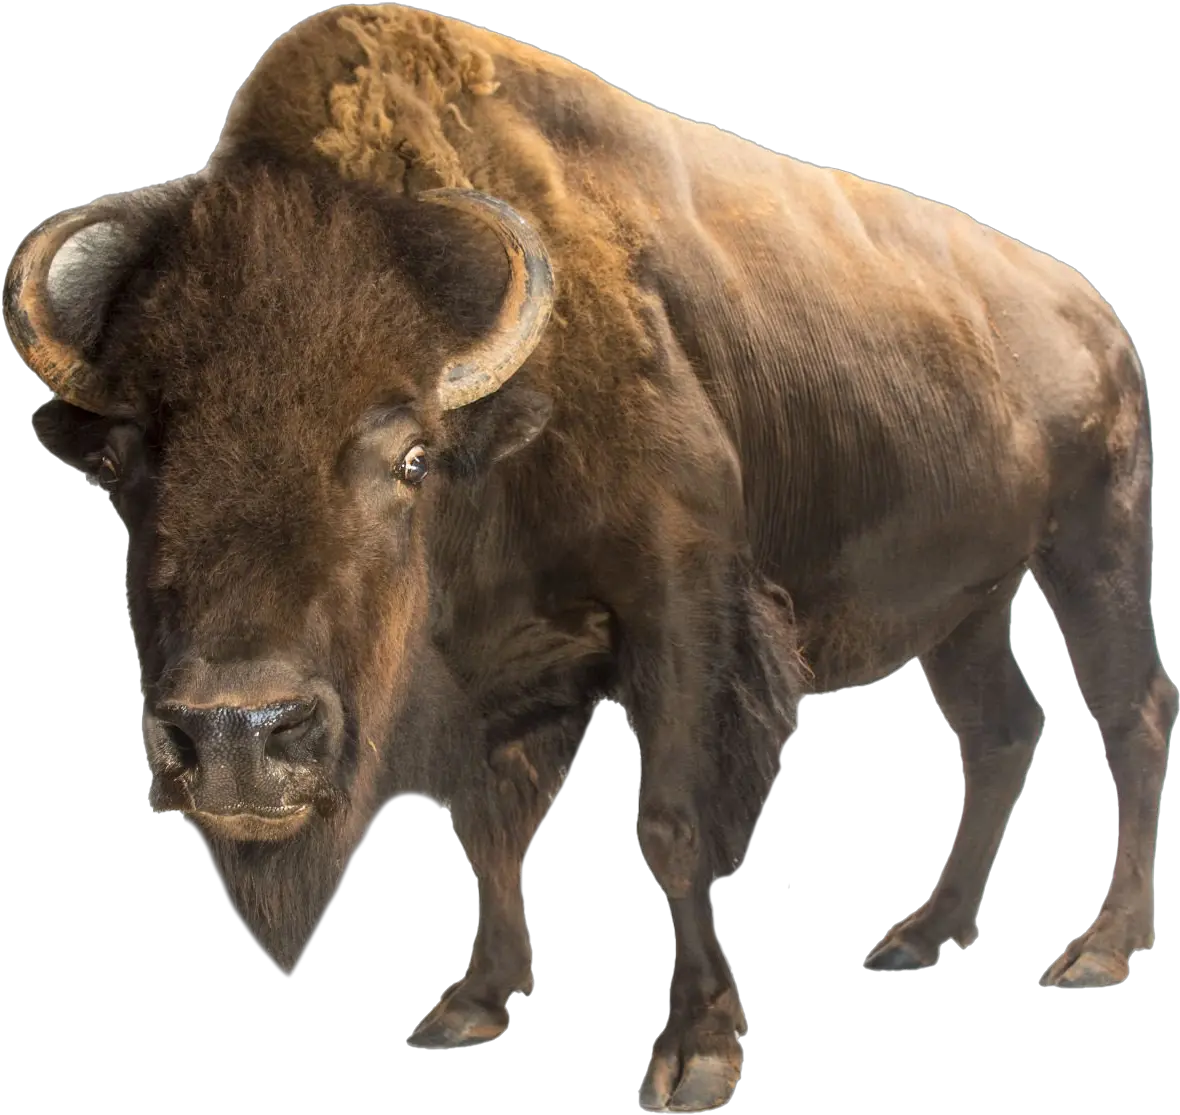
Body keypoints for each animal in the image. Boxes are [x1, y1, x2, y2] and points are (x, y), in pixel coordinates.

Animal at [7, 5, 1174, 1111]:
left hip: (1094, 542)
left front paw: (694, 1053)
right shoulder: (495, 676)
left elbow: (671, 822)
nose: (236, 736)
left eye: (411, 454)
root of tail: (1095, 314)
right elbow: (489, 829)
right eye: (121, 463)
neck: (500, 436)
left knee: (1131, 713)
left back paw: (1097, 950)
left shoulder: (680, 612)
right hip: (969, 604)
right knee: (1001, 729)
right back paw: (919, 935)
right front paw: (471, 1004)